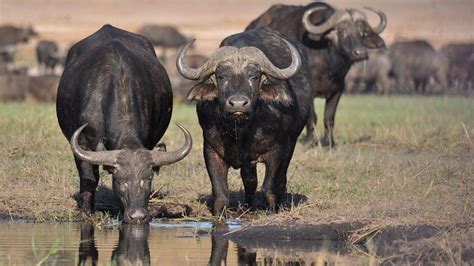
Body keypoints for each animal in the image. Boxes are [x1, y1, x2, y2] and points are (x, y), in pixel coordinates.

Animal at [57, 25, 193, 224]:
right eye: (120, 180)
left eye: (148, 179)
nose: (138, 215)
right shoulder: (81, 143)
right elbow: (89, 178)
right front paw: (86, 212)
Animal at [176, 27, 312, 214]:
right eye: (222, 76)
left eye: (254, 76)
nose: (238, 104)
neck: (240, 131)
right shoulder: (211, 150)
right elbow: (220, 192)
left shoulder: (277, 151)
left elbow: (269, 187)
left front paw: (272, 210)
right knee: (250, 180)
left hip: (291, 144)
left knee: (280, 179)